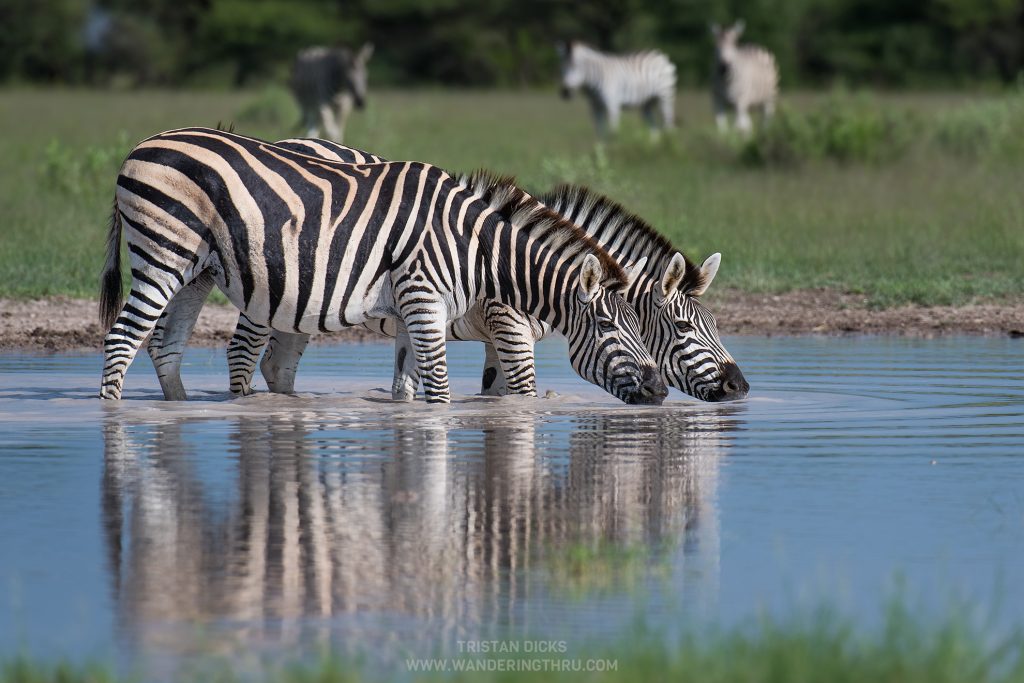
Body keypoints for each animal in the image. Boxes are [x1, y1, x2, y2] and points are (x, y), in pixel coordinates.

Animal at [100, 127, 667, 405]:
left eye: (643, 326)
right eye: (609, 326)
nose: (659, 390)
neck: (476, 250)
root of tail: (142, 144)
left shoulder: (419, 311)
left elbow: (411, 385)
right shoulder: (429, 300)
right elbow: (444, 385)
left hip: (197, 270)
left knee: (166, 345)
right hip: (165, 253)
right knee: (125, 338)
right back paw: (112, 416)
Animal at [194, 141, 746, 403]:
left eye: (716, 325)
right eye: (683, 329)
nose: (740, 388)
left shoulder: (495, 337)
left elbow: (495, 392)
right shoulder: (509, 326)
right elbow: (523, 393)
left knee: (277, 366)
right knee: (246, 353)